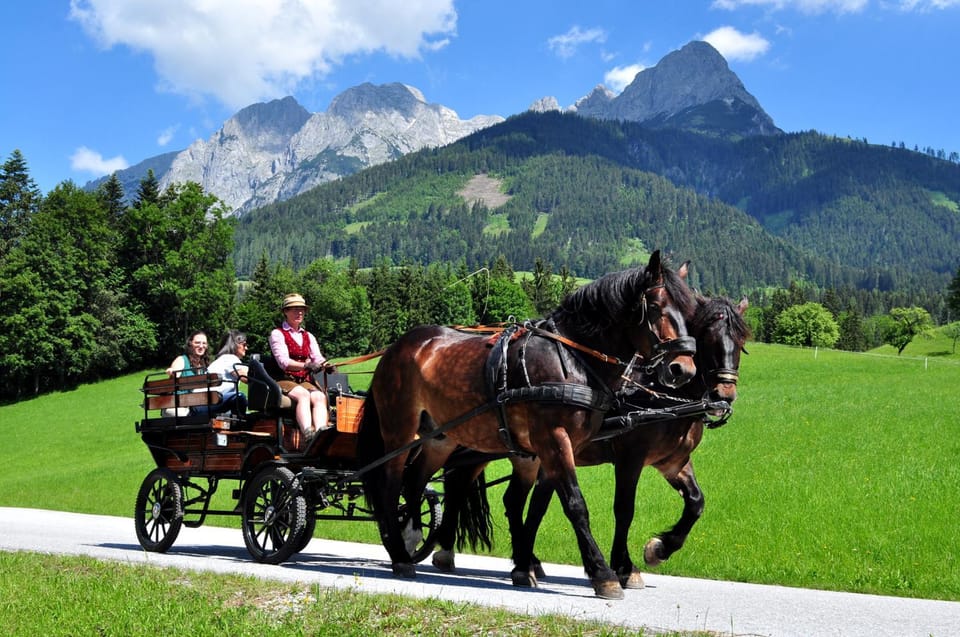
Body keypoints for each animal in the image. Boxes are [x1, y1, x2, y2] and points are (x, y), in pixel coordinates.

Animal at [357, 250, 698, 599]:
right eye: (655, 306)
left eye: (689, 311)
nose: (682, 369)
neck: (572, 359)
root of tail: (398, 347)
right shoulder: (557, 440)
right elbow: (576, 504)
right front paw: (604, 573)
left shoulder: (560, 449)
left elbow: (540, 504)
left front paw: (526, 565)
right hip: (400, 432)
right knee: (390, 484)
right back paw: (400, 555)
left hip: (440, 438)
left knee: (415, 483)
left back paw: (412, 539)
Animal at [432, 294, 749, 591]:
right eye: (707, 336)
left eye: (741, 340)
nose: (724, 394)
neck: (655, 395)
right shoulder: (630, 458)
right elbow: (624, 510)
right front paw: (624, 567)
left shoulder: (673, 462)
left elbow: (696, 502)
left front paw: (659, 549)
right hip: (477, 445)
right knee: (458, 486)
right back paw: (446, 549)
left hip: (526, 455)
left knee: (513, 500)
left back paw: (526, 560)